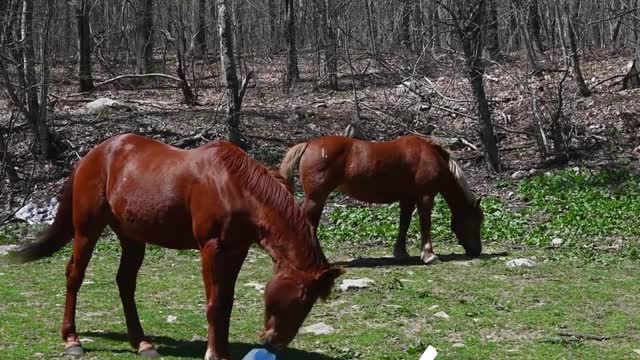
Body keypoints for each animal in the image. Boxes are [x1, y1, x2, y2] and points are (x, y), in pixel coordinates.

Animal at [12, 134, 342, 358]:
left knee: (125, 283)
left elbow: (227, 301)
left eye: (310, 303)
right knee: (75, 276)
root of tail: (91, 156)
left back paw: (142, 342)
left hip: (132, 237)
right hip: (87, 231)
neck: (237, 188)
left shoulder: (237, 250)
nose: (273, 343)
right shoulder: (212, 248)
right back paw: (72, 339)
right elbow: (215, 303)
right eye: (302, 299)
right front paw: (214, 353)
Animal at [280, 135, 484, 264]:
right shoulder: (425, 196)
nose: (477, 251)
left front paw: (401, 253)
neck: (429, 155)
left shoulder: (407, 198)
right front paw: (429, 255)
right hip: (316, 198)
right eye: (476, 222)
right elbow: (425, 223)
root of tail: (308, 144)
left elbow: (404, 223)